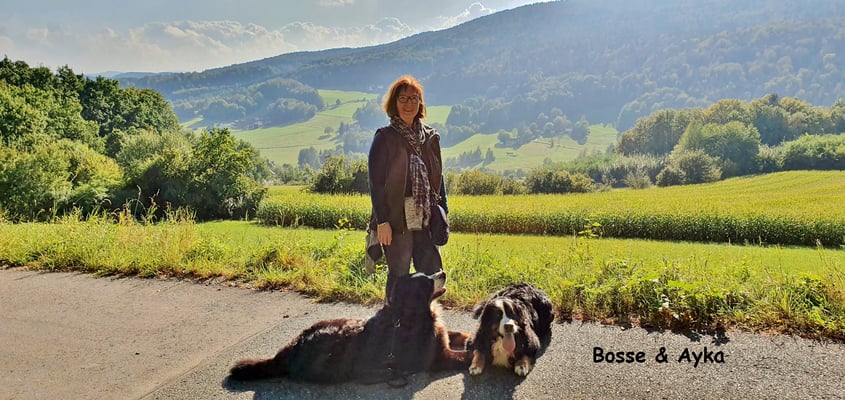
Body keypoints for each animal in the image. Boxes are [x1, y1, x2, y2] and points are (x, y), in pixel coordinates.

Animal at [228, 271, 471, 384]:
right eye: (427, 282)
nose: (442, 273)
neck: (409, 315)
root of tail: (287, 351)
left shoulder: (441, 335)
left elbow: (455, 333)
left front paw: (469, 336)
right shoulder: (439, 356)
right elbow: (463, 357)